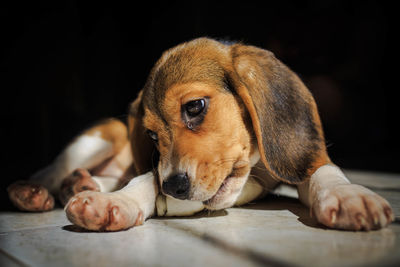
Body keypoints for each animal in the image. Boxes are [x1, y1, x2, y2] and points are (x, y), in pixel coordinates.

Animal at [7, 37, 396, 232]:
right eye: (151, 136)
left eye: (194, 107)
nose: (175, 187)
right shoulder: (160, 170)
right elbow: (145, 180)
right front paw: (117, 203)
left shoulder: (305, 160)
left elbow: (325, 172)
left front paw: (349, 197)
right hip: (105, 134)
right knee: (57, 167)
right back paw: (35, 192)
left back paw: (83, 183)